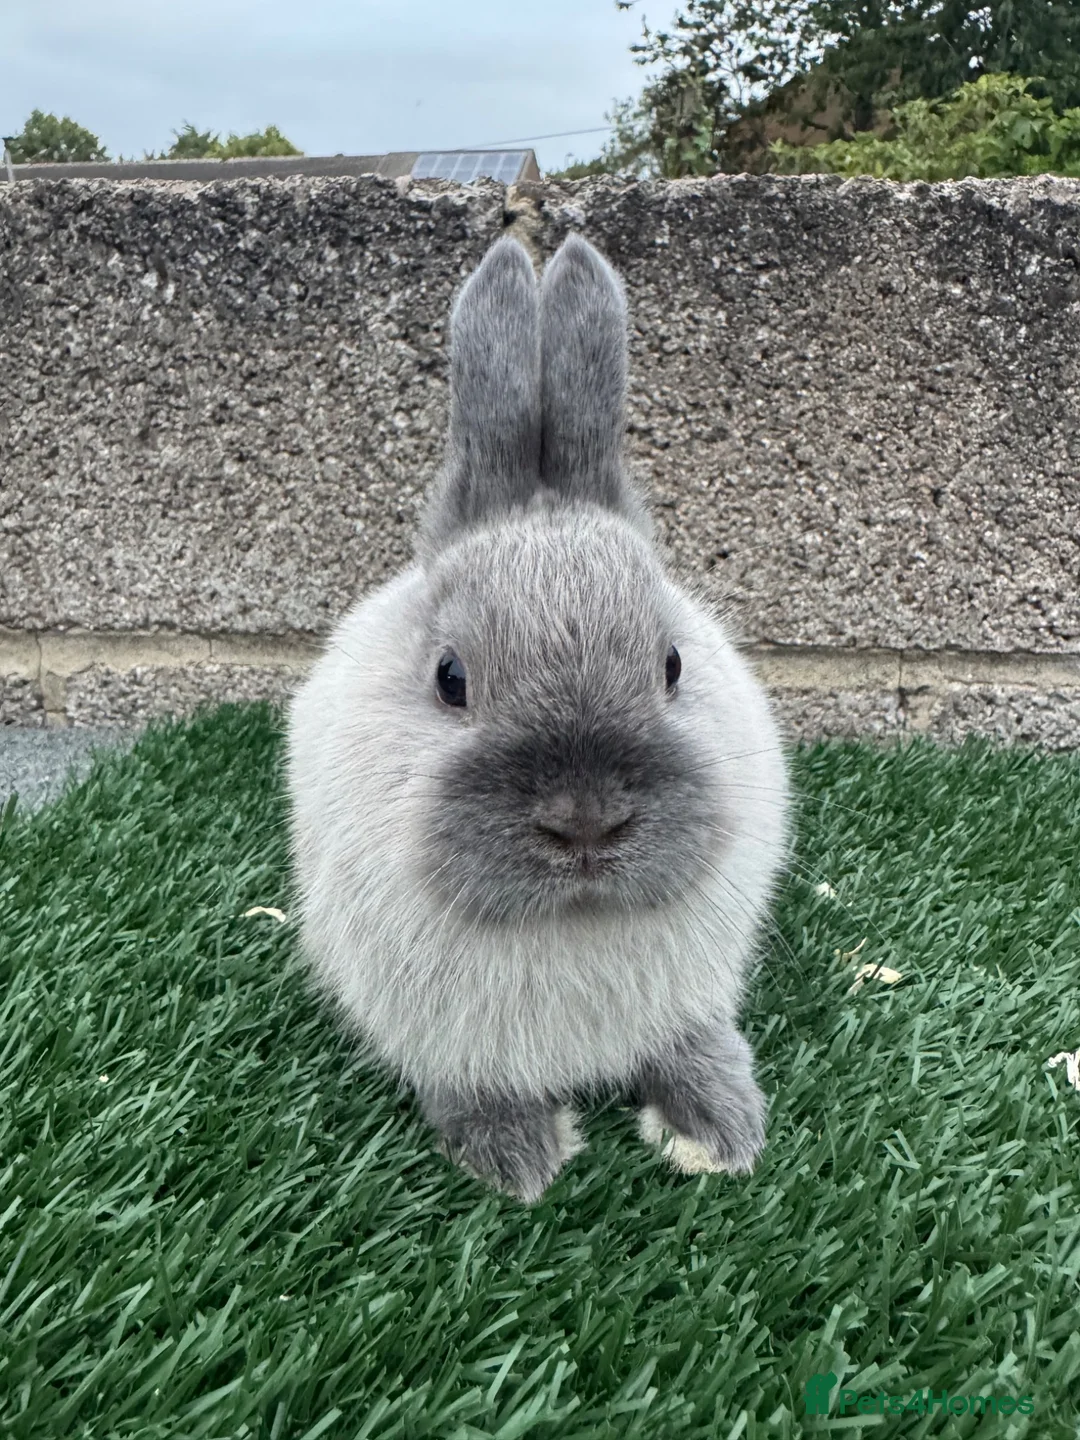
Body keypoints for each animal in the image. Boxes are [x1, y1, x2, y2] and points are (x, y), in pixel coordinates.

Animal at [285, 231, 791, 1204]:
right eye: (450, 678)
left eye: (674, 666)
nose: (585, 821)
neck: (574, 922)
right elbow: (473, 1083)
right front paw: (519, 1160)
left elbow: (692, 1048)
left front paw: (722, 1132)